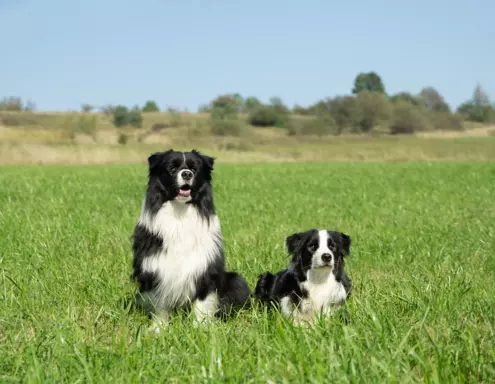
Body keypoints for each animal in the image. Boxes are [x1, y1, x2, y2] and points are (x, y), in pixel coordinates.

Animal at [131, 148, 250, 330]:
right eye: (171, 168)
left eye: (194, 169)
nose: (187, 174)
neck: (180, 212)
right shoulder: (156, 267)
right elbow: (159, 303)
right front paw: (158, 328)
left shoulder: (204, 268)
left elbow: (202, 302)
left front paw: (200, 328)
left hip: (236, 280)